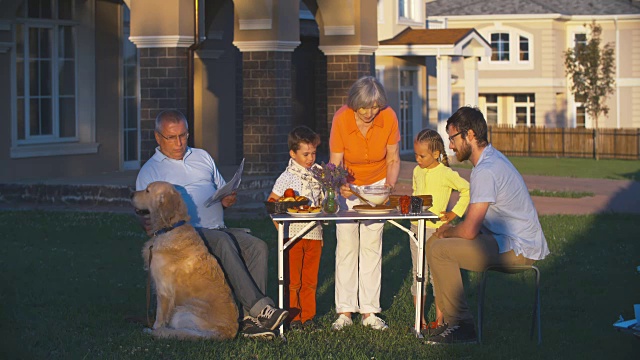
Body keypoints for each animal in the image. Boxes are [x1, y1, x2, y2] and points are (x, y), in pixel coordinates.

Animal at [131, 181, 239, 338]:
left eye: (147, 191)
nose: (130, 194)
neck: (170, 228)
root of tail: (228, 332)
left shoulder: (163, 289)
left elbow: (159, 316)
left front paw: (155, 329)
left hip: (181, 313)